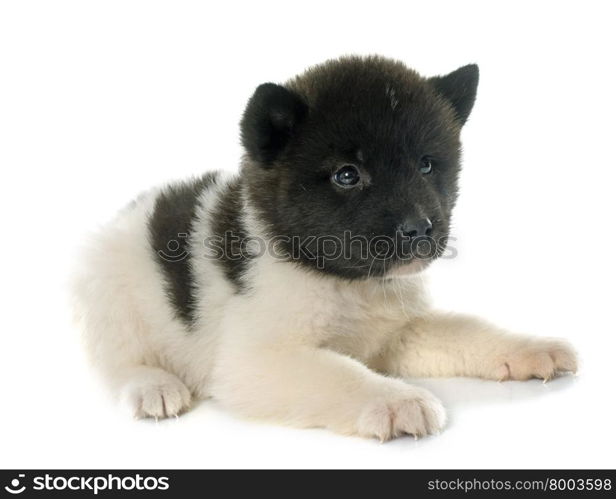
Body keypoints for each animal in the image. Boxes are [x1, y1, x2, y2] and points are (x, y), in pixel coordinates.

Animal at [72, 55, 576, 442]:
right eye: (347, 175)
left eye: (426, 165)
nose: (420, 229)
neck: (343, 280)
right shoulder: (254, 360)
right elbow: (339, 372)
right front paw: (396, 399)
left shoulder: (398, 331)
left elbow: (466, 329)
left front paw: (529, 348)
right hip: (110, 291)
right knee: (116, 359)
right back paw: (151, 386)